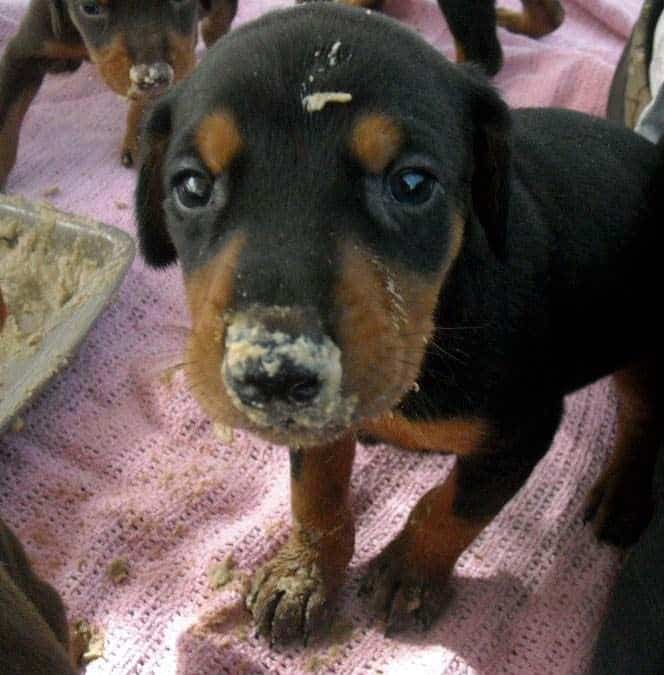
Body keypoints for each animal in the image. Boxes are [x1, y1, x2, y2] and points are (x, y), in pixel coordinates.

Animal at [135, 5, 664, 648]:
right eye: (191, 186)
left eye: (411, 184)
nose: (274, 374)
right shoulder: (316, 424)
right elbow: (315, 491)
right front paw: (305, 573)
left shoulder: (525, 427)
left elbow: (453, 505)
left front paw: (410, 571)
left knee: (642, 412)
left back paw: (625, 491)